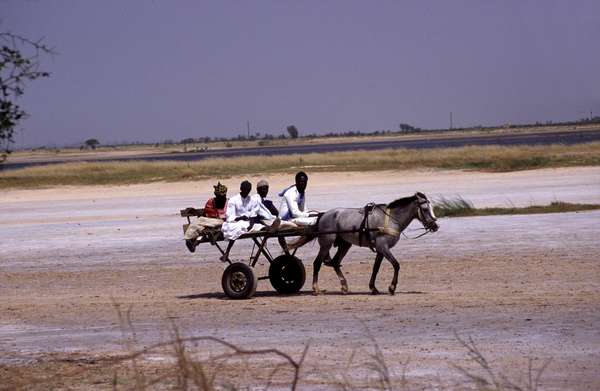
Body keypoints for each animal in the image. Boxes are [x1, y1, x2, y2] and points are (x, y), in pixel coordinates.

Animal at [302, 191, 438, 296]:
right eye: (425, 209)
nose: (435, 226)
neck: (390, 219)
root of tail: (323, 214)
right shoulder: (383, 247)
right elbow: (396, 265)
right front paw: (392, 287)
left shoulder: (380, 250)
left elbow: (375, 268)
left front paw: (373, 288)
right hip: (326, 244)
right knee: (317, 263)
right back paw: (316, 288)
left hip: (345, 244)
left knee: (335, 263)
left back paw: (344, 287)